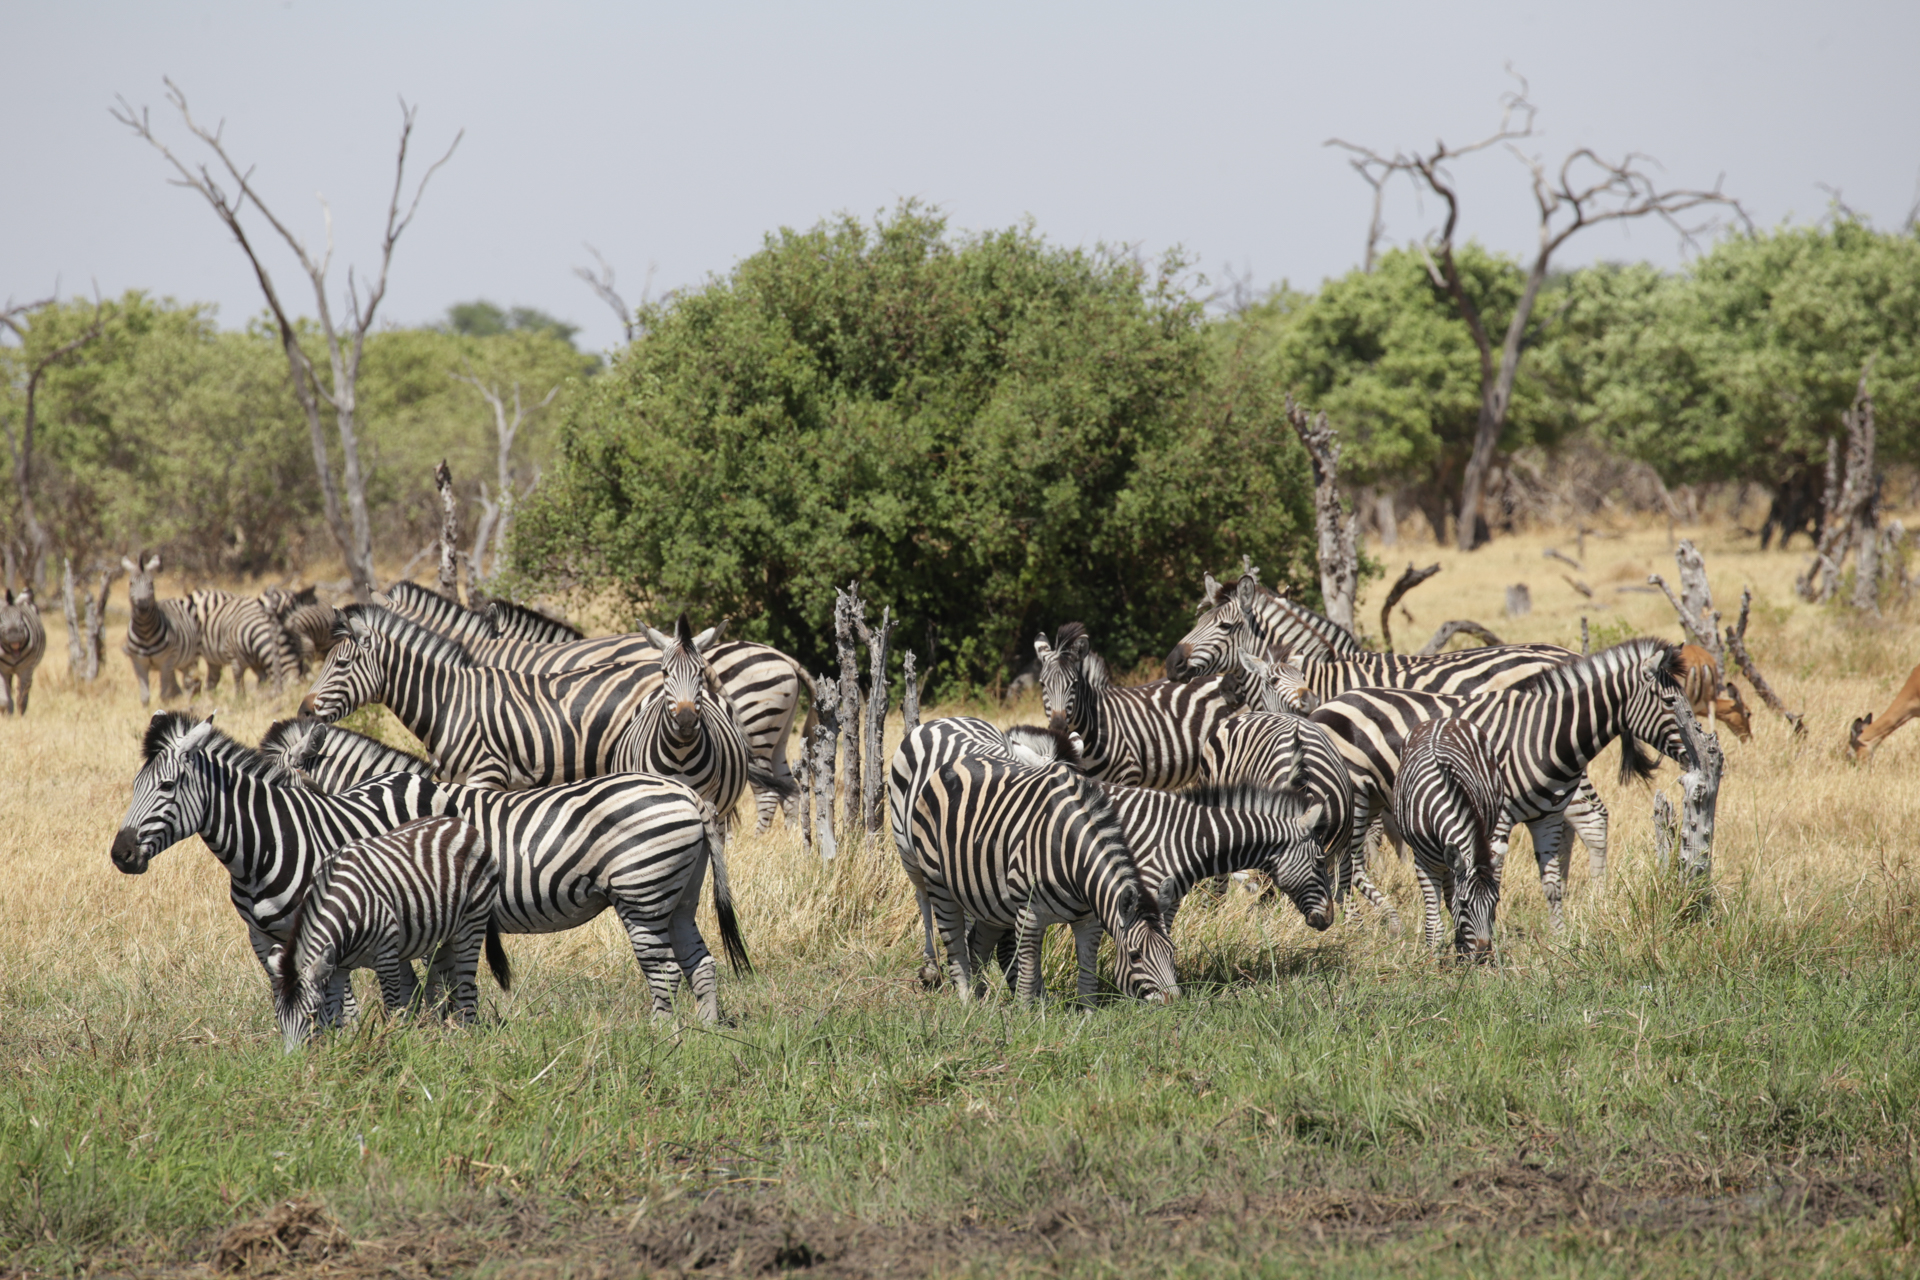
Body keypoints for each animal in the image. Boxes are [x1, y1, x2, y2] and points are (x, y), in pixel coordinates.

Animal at [121, 554, 200, 705]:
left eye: (151, 583)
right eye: (131, 583)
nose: (142, 607)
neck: (145, 632)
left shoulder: (166, 661)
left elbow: (163, 694)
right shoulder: (138, 663)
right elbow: (145, 697)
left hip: (189, 659)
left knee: (190, 682)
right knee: (178, 684)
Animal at [273, 815, 511, 1051]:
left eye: (311, 1015)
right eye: (279, 1018)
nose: (294, 1059)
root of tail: (461, 823)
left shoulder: (386, 956)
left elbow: (393, 1009)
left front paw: (389, 1045)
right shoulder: (337, 968)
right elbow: (335, 1014)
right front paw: (338, 1050)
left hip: (472, 923)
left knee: (466, 988)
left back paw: (468, 1038)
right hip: (444, 938)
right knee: (451, 988)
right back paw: (449, 1037)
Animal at [906, 748, 1179, 1004]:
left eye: (1172, 951)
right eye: (1135, 955)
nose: (1172, 1003)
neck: (1071, 853)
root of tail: (953, 763)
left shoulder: (1088, 922)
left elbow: (1087, 978)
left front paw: (1087, 1016)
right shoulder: (1030, 915)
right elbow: (1027, 977)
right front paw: (1026, 1016)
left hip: (989, 901)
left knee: (977, 945)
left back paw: (982, 1003)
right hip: (937, 882)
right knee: (955, 946)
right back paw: (967, 1004)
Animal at [1308, 638, 1687, 930]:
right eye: (1670, 702)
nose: (1694, 750)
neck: (1538, 733)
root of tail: (1327, 705)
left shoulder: (1543, 817)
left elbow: (1548, 881)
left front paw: (1559, 938)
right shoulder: (1498, 817)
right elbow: (1490, 876)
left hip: (1370, 797)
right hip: (1355, 797)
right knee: (1346, 861)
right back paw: (1361, 922)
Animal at [1392, 719, 1505, 959]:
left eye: (1495, 902)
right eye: (1465, 905)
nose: (1482, 955)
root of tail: (1442, 720)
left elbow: (1453, 914)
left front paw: (1462, 955)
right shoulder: (1423, 864)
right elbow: (1435, 924)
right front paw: (1432, 963)